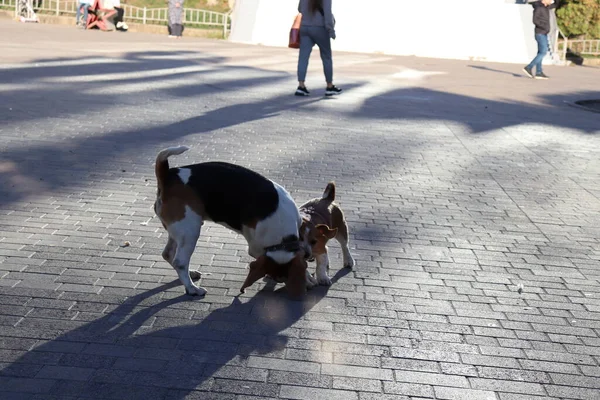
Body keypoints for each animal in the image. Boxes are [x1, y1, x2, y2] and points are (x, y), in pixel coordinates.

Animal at [152, 147, 312, 296]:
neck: (283, 239)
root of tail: (168, 175)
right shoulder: (255, 248)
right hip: (189, 231)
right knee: (179, 262)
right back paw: (192, 288)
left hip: (179, 230)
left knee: (168, 254)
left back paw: (190, 273)